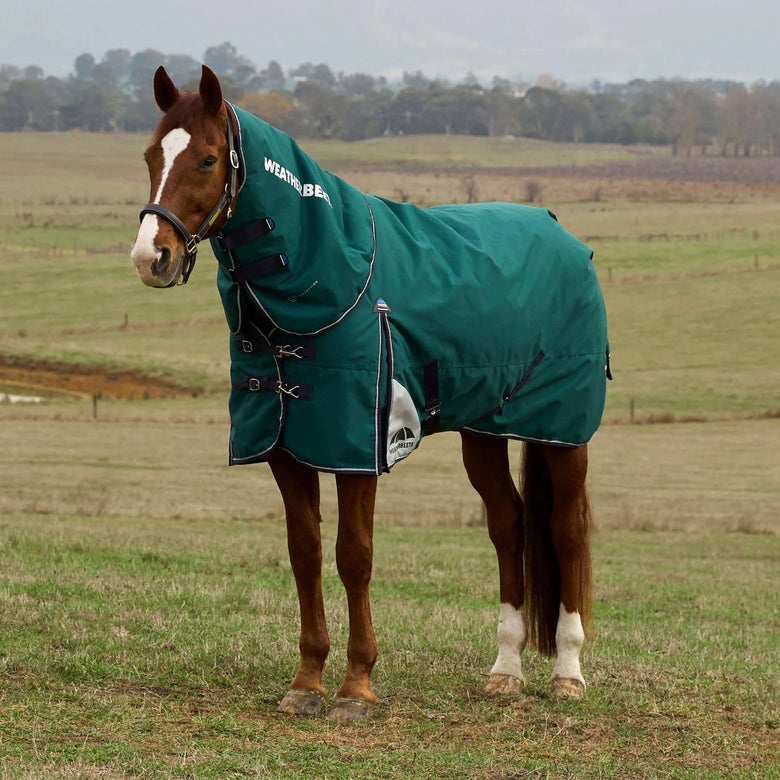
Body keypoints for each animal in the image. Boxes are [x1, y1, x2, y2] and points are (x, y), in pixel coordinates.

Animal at [130, 65, 610, 722]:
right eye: (151, 155)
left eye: (206, 159)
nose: (150, 256)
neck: (329, 272)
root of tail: (561, 234)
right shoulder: (287, 446)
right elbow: (305, 552)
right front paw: (307, 682)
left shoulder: (357, 447)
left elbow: (353, 555)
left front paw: (356, 686)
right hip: (484, 431)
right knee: (508, 525)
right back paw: (505, 670)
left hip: (563, 435)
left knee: (566, 531)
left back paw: (567, 672)